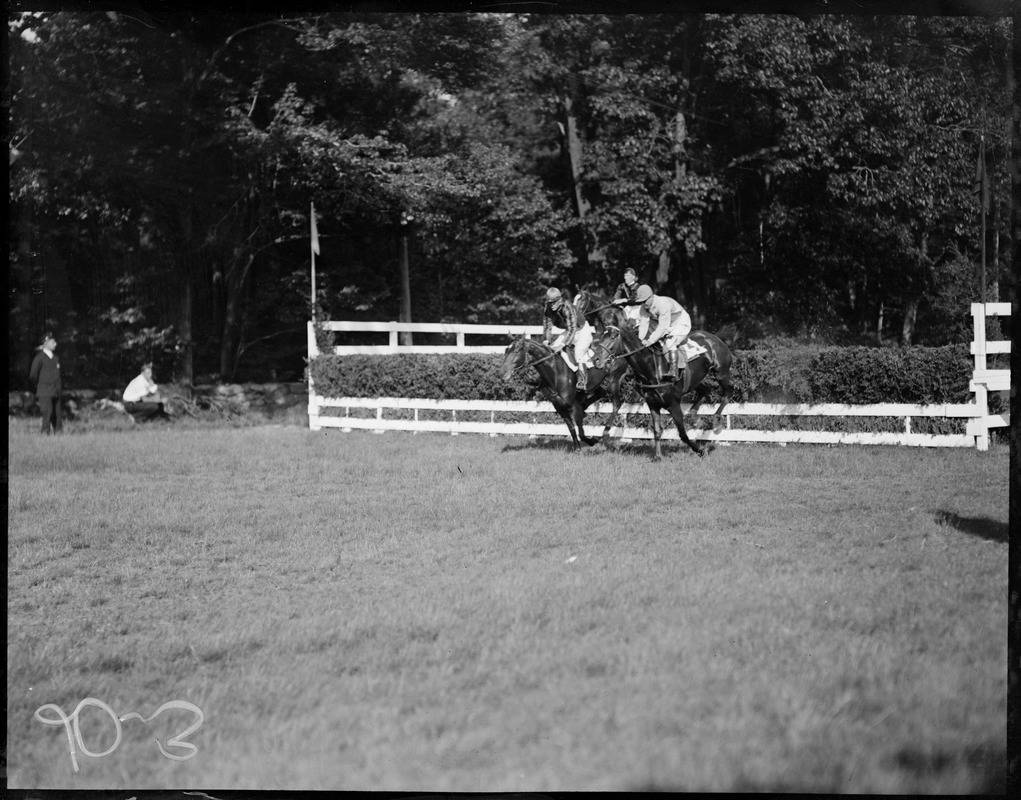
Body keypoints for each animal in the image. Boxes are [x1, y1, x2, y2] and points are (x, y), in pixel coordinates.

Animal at [500, 334, 633, 448]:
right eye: (506, 351)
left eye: (516, 351)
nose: (503, 372)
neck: (555, 372)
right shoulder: (559, 405)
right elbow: (571, 428)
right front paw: (577, 447)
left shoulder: (573, 404)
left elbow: (580, 431)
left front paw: (592, 441)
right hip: (594, 383)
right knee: (601, 393)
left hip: (614, 379)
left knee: (616, 404)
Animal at [588, 322, 739, 459]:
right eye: (601, 337)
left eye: (613, 337)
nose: (596, 360)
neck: (652, 368)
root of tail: (715, 337)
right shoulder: (653, 404)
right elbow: (657, 431)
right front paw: (658, 456)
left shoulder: (673, 404)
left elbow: (683, 434)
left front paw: (700, 450)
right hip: (696, 380)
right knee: (705, 391)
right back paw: (694, 417)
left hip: (721, 372)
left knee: (728, 393)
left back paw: (716, 421)